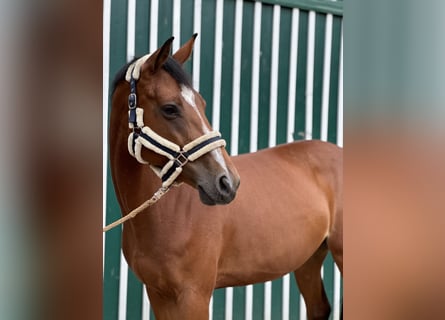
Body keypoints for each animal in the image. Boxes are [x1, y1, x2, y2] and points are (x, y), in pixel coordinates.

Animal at [108, 33, 344, 318]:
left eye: (202, 104)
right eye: (170, 108)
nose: (227, 182)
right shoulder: (158, 294)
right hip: (308, 259)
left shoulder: (194, 296)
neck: (167, 213)